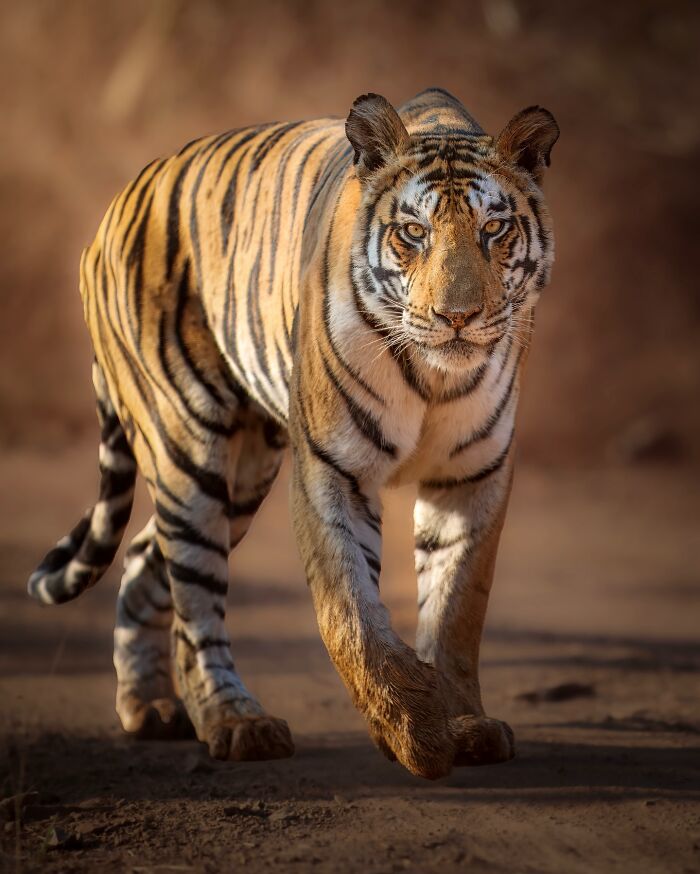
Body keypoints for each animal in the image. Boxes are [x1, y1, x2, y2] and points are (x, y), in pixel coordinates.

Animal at [27, 88, 558, 780]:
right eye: (413, 233)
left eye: (494, 229)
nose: (458, 317)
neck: (433, 379)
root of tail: (116, 206)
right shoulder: (333, 470)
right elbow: (348, 609)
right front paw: (412, 731)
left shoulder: (471, 478)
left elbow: (456, 608)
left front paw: (465, 723)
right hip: (188, 451)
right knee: (194, 603)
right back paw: (235, 722)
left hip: (242, 472)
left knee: (146, 560)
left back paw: (149, 709)